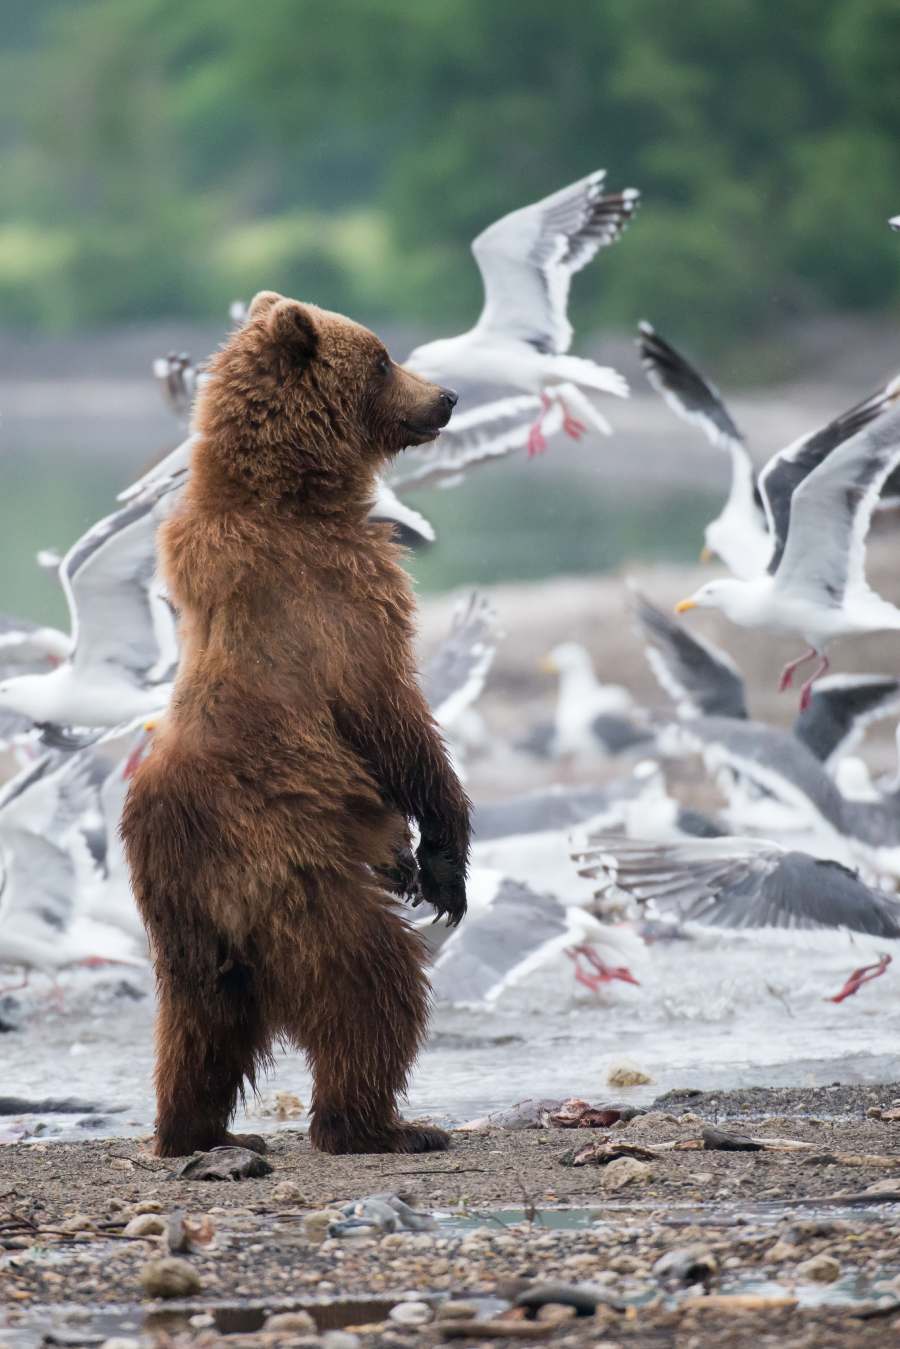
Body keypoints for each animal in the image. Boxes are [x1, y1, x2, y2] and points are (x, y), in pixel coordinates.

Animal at [121, 295, 472, 1160]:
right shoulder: (339, 596)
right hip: (291, 870)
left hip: (185, 928)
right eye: (381, 357)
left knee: (199, 1025)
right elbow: (396, 718)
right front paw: (444, 863)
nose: (446, 397)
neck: (296, 496)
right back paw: (380, 1123)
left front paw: (412, 861)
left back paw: (195, 1130)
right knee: (370, 983)